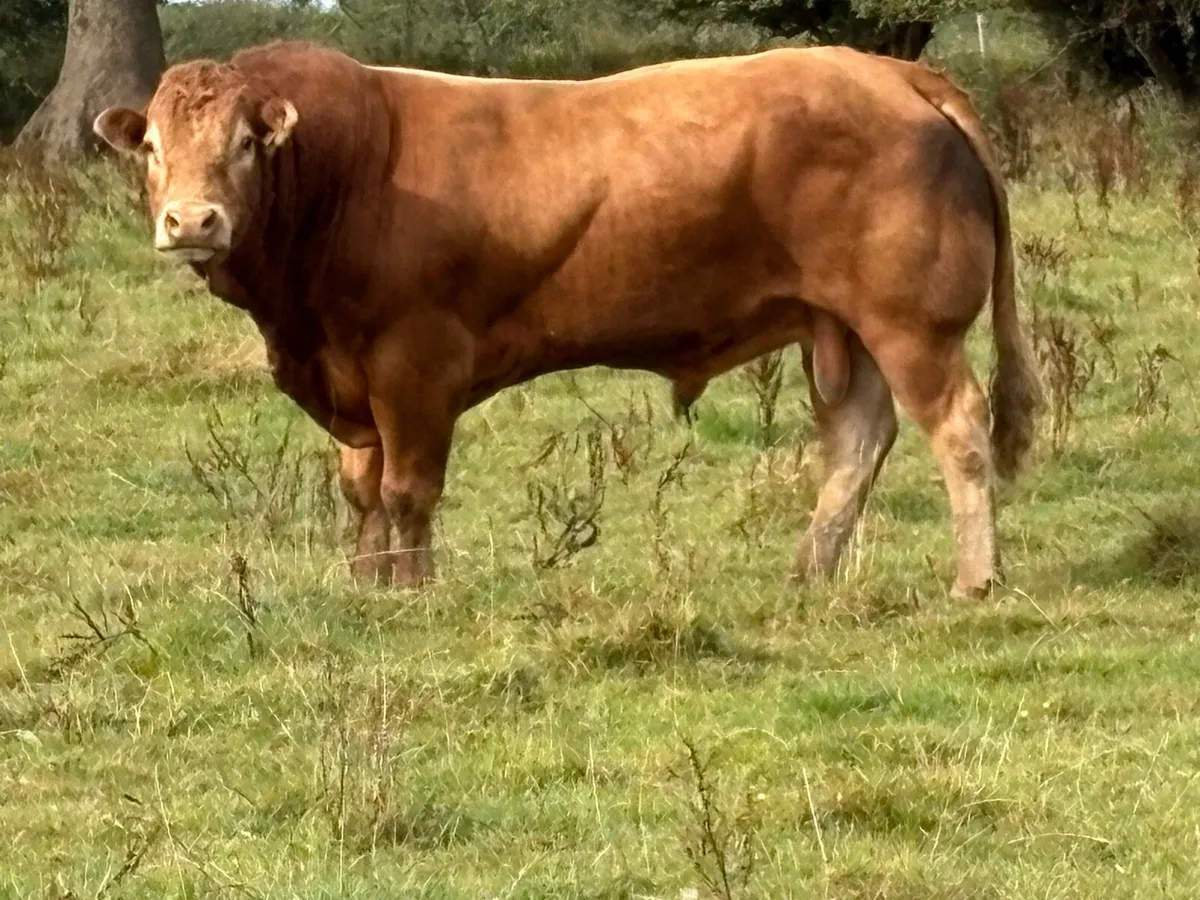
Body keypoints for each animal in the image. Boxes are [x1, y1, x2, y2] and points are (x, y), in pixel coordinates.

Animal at [93, 40, 1041, 599]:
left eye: (245, 145)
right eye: (152, 149)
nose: (191, 221)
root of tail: (890, 71)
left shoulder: (414, 362)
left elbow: (406, 489)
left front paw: (414, 591)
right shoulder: (347, 372)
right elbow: (360, 488)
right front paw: (367, 583)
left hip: (911, 323)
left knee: (958, 429)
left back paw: (975, 579)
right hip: (843, 323)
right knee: (857, 438)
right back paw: (809, 570)